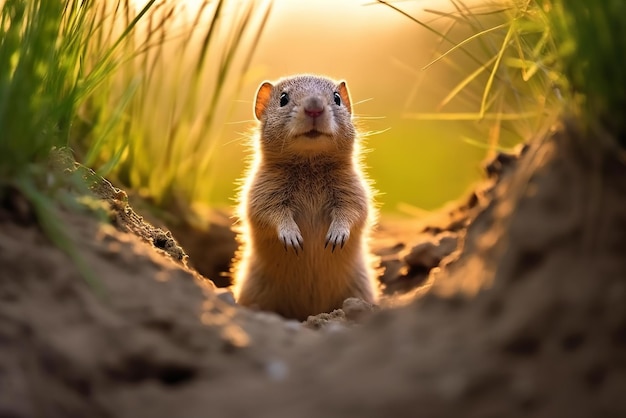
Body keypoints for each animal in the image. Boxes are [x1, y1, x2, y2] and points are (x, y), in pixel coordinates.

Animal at [229, 75, 376, 322]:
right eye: (283, 98)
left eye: (337, 98)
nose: (314, 107)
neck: (310, 163)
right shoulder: (263, 194)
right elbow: (271, 214)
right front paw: (292, 236)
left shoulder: (353, 191)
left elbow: (352, 211)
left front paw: (336, 235)